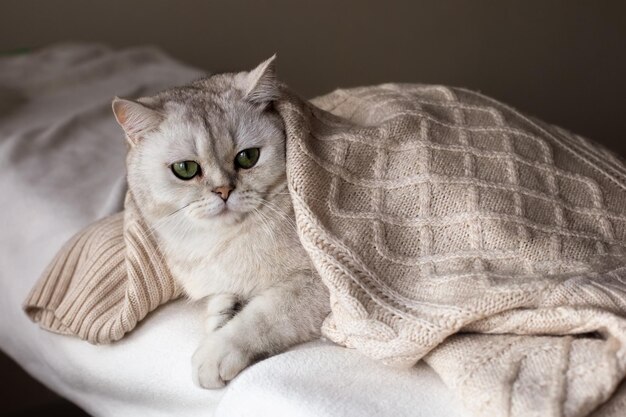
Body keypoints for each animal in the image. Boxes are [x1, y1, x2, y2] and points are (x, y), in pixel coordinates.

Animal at [112, 56, 330, 386]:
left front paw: (218, 351)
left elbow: (265, 314)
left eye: (248, 157)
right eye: (185, 169)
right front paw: (223, 313)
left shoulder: (323, 284)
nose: (224, 191)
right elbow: (223, 300)